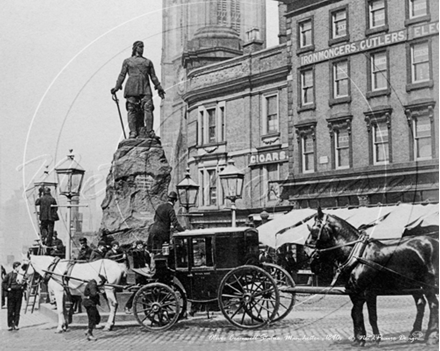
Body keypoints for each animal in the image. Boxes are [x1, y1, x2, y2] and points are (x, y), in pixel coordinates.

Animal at [306, 209, 440, 346]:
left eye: (315, 228)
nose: (309, 256)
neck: (357, 255)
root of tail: (434, 241)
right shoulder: (354, 292)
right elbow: (356, 313)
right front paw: (359, 339)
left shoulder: (368, 291)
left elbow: (371, 316)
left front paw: (373, 339)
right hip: (414, 285)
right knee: (421, 303)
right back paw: (414, 335)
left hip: (429, 284)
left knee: (433, 304)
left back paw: (431, 335)